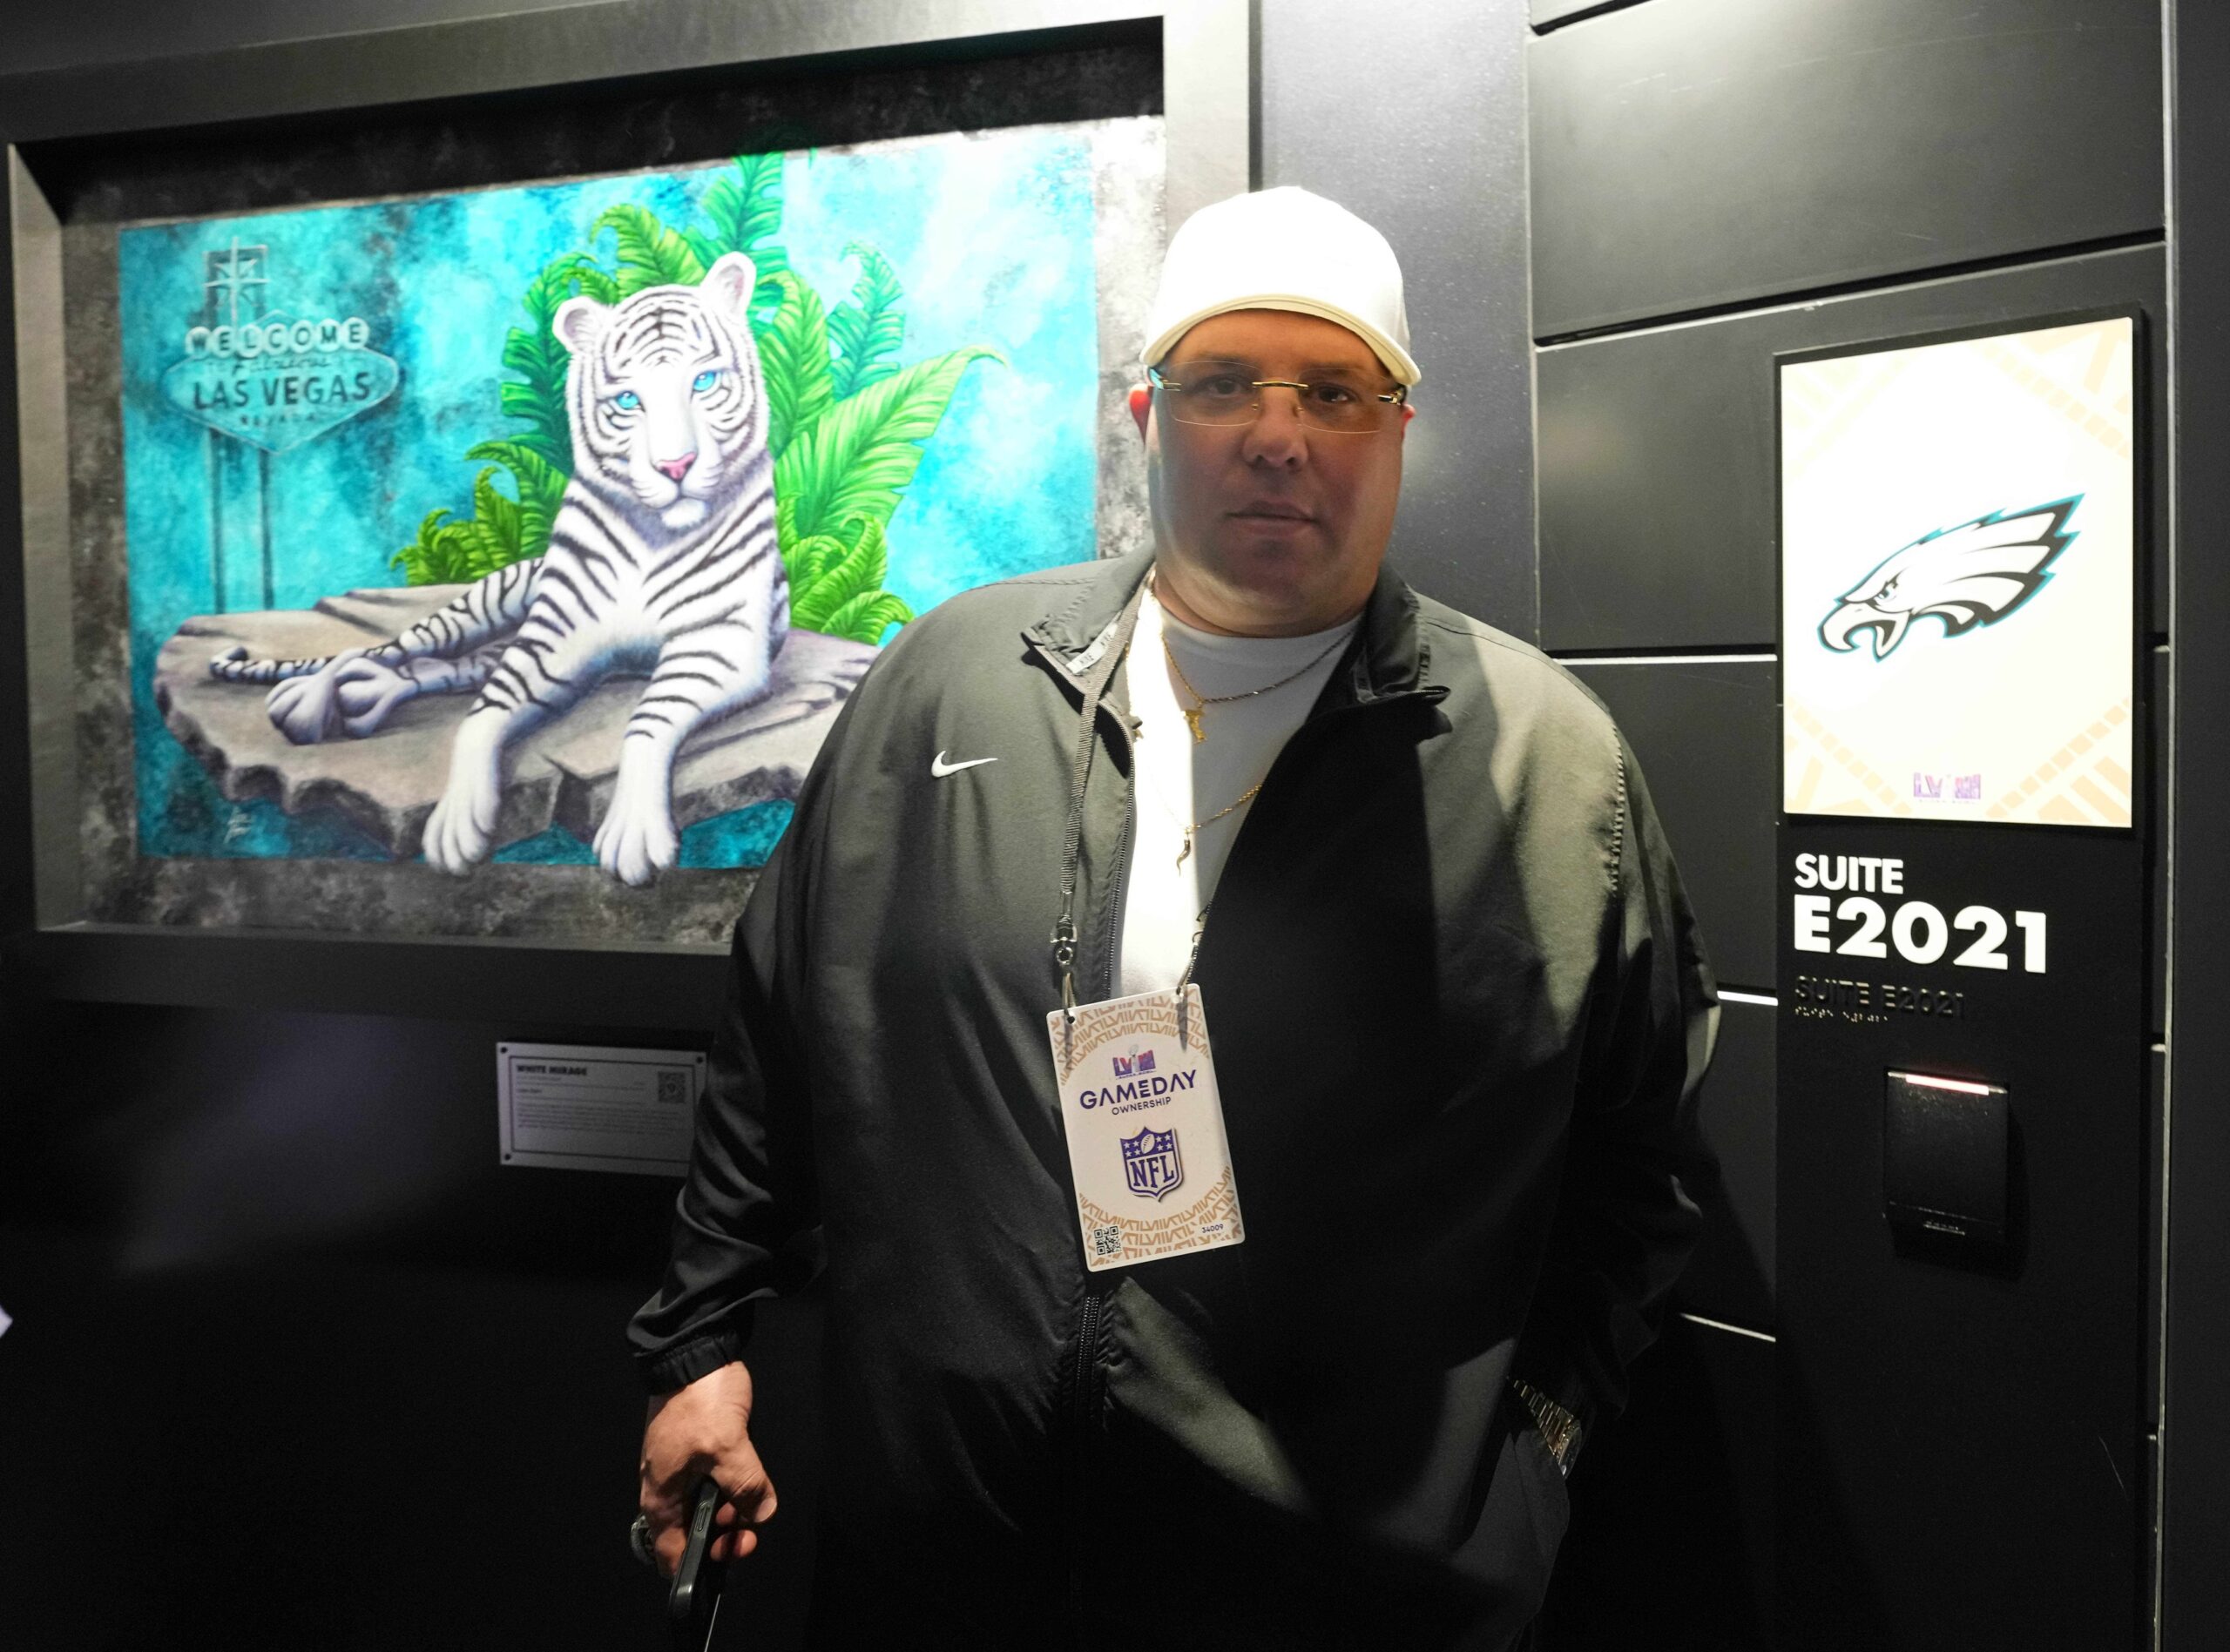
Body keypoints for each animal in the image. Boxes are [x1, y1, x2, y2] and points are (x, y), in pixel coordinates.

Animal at [202, 249, 794, 882]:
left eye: (703, 382)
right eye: (629, 401)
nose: (676, 466)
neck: (655, 532)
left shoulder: (718, 645)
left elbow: (648, 719)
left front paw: (633, 834)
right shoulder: (552, 641)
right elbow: (481, 718)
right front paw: (456, 825)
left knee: (426, 671)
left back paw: (365, 698)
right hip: (480, 610)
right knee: (383, 651)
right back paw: (307, 700)